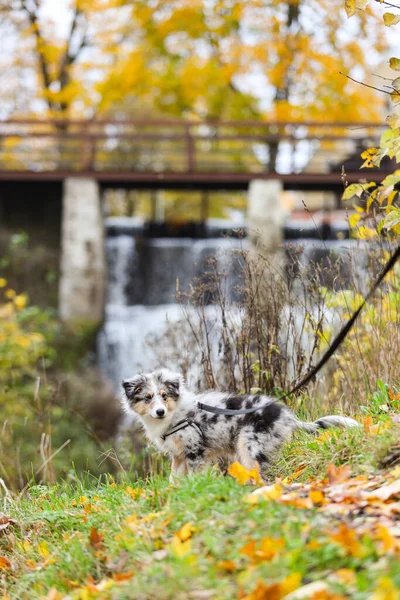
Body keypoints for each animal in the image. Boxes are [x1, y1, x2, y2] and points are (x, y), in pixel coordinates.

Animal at [122, 368, 360, 480]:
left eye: (164, 396)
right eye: (148, 398)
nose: (159, 412)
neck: (175, 414)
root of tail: (286, 415)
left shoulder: (195, 450)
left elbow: (195, 475)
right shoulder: (178, 455)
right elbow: (174, 479)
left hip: (249, 445)